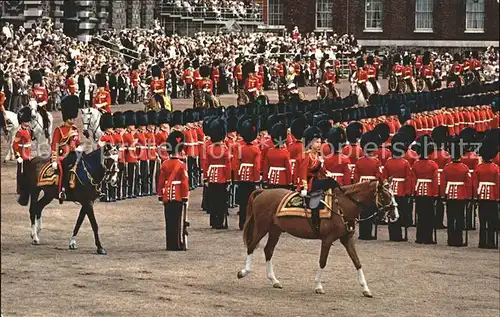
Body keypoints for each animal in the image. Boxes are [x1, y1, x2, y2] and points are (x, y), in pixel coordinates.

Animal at [237, 179, 398, 296]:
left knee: (268, 250)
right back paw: (244, 272)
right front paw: (318, 286)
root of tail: (263, 191)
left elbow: (357, 262)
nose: (395, 215)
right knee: (252, 246)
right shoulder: (327, 240)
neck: (342, 206)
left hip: (275, 230)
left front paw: (365, 289)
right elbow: (322, 261)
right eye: (385, 195)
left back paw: (274, 280)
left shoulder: (347, 240)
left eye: (393, 193)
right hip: (262, 227)